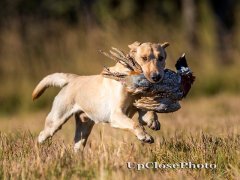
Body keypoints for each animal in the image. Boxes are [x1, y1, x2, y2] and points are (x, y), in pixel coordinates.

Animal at [32, 41, 169, 151]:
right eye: (144, 58)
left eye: (161, 58)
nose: (156, 77)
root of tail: (74, 78)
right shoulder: (116, 115)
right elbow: (134, 124)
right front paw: (145, 136)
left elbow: (147, 113)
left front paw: (153, 121)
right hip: (55, 121)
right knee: (41, 135)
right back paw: (37, 150)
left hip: (84, 128)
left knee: (77, 145)